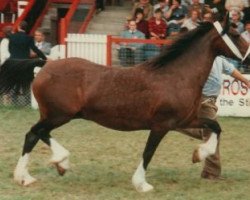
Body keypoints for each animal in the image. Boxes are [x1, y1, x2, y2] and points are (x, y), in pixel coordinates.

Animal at [0, 19, 249, 192]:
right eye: (236, 34)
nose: (247, 57)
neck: (176, 76)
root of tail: (45, 64)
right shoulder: (161, 125)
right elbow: (148, 152)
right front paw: (142, 184)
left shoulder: (186, 119)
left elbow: (215, 127)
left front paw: (199, 154)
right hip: (58, 115)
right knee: (33, 134)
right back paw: (41, 170)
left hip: (55, 115)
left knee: (36, 135)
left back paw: (44, 170)